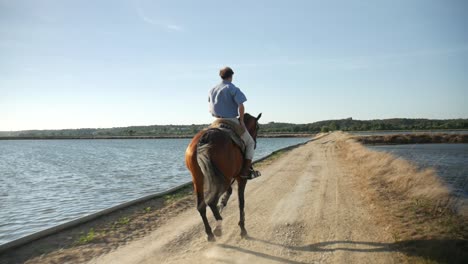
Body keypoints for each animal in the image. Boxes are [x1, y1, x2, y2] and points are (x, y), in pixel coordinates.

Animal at [185, 113, 262, 241]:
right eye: (258, 127)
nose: (255, 144)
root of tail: (204, 139)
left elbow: (229, 192)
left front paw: (223, 202)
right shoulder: (241, 178)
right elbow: (241, 201)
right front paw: (242, 228)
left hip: (198, 179)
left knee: (201, 206)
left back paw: (210, 233)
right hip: (222, 179)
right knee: (211, 202)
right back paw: (218, 227)